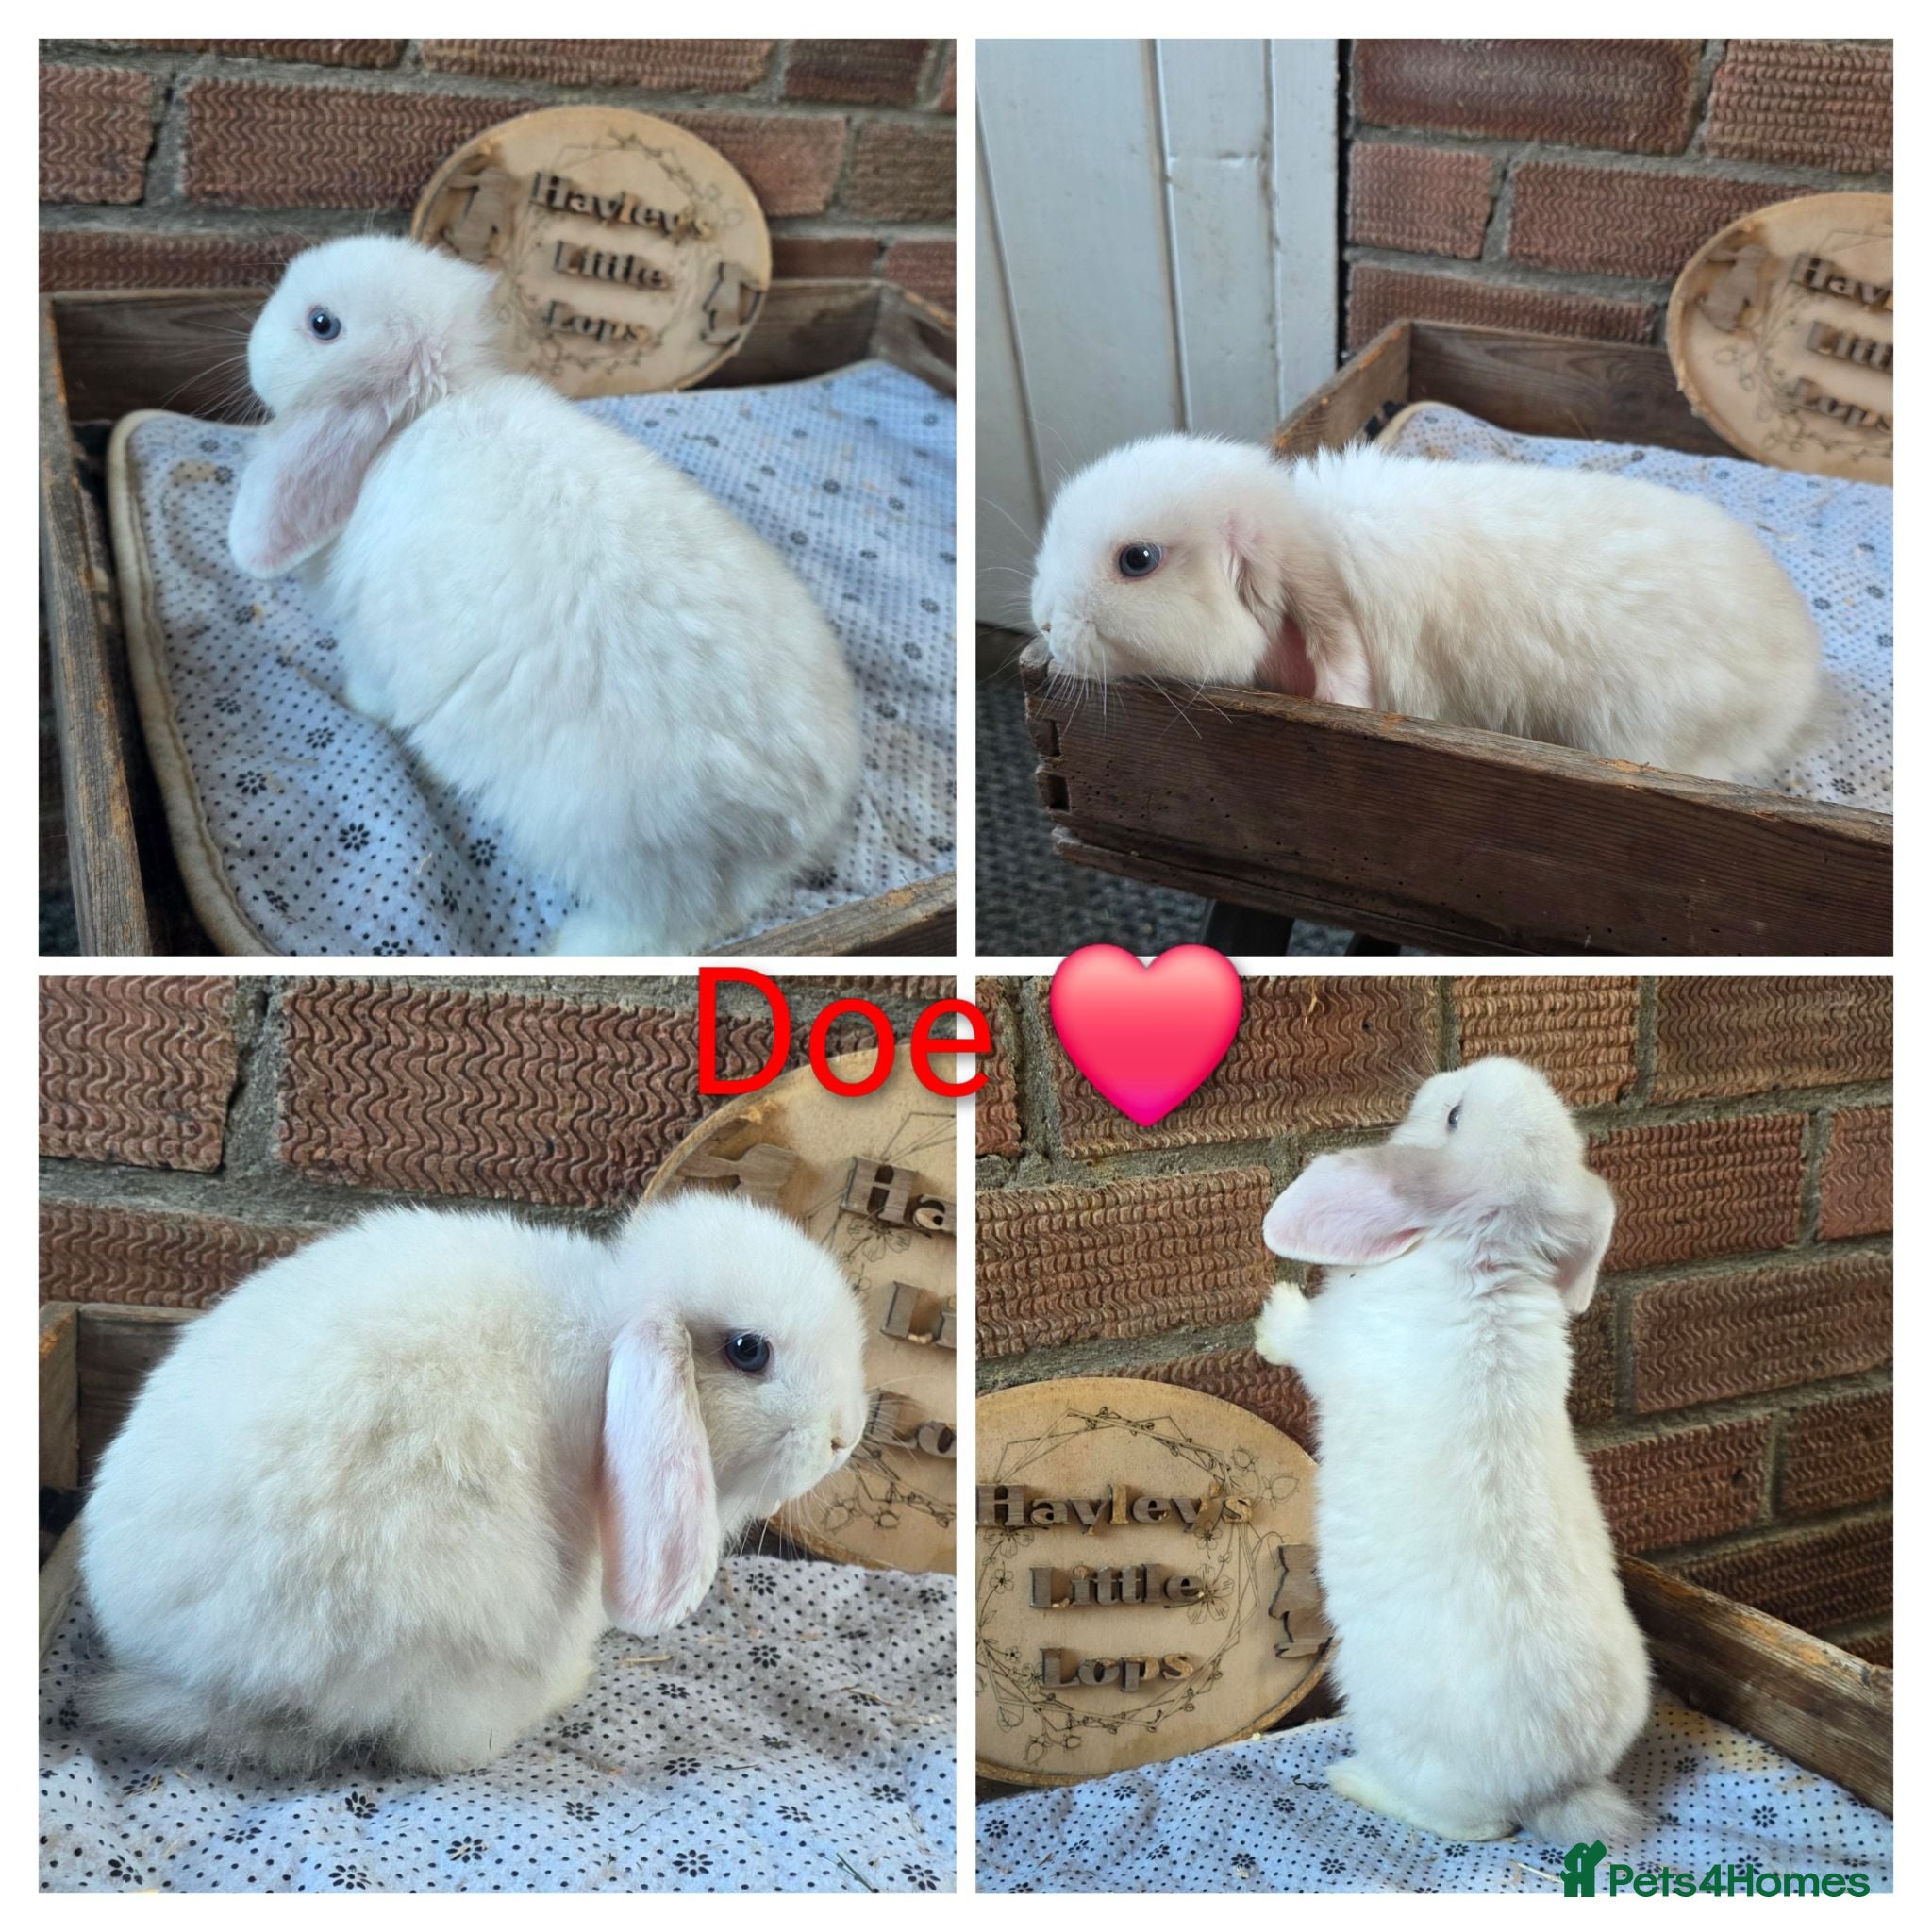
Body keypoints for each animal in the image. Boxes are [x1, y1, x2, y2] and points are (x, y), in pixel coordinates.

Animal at [78, 1192, 868, 1776]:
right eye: (747, 1350)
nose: (845, 1435)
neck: (607, 1342)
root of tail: (200, 1678)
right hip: (451, 1623)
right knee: (443, 1746)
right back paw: (558, 1690)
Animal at [227, 235, 862, 955]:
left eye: (321, 324)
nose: (251, 342)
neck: (422, 409)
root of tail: (803, 805)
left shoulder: (373, 648)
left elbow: (373, 692)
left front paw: (356, 707)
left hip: (618, 844)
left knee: (663, 930)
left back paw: (573, 946)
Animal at [1252, 1056, 1649, 1844]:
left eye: (1453, 1117)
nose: (1451, 1073)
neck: (1483, 1254)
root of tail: (1554, 1788)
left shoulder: (1332, 1346)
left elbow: (1302, 1343)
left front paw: (1273, 1315)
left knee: (1473, 1831)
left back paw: (1355, 1782)